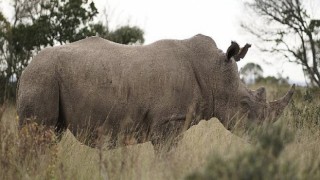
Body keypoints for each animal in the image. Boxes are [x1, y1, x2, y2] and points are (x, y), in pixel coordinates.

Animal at [16, 34, 294, 150]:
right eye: (245, 105)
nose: (268, 140)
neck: (213, 73)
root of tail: (25, 69)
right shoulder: (168, 121)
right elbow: (167, 158)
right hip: (41, 77)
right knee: (38, 135)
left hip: (45, 77)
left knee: (50, 136)